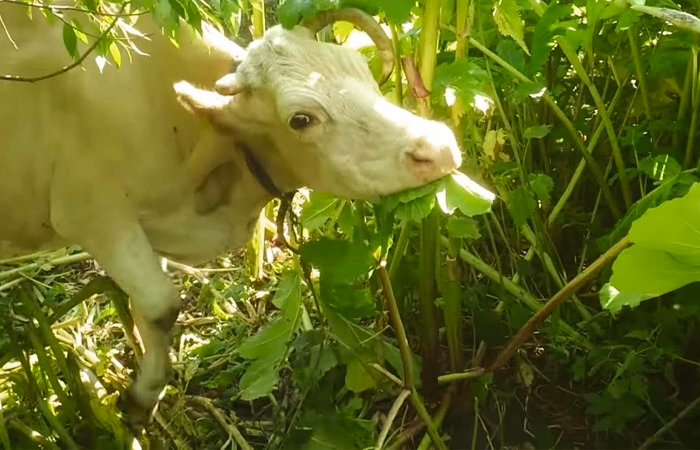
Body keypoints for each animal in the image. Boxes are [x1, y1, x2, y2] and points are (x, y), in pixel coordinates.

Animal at [0, 1, 462, 428]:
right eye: (300, 119)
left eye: (363, 72)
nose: (438, 146)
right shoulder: (92, 211)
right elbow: (162, 305)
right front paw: (141, 396)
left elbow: (144, 309)